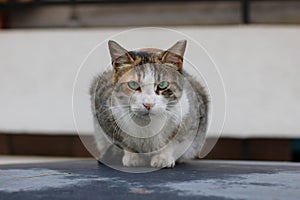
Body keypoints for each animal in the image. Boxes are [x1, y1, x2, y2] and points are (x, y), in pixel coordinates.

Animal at [89, 39, 209, 168]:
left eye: (163, 85)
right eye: (133, 85)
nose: (148, 104)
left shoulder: (191, 117)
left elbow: (175, 141)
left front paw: (163, 157)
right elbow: (124, 142)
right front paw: (133, 157)